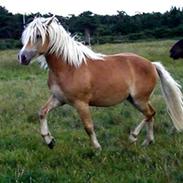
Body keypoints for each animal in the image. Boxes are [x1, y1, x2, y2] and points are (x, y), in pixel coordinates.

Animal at [17, 16, 183, 149]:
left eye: (38, 35)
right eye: (25, 37)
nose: (22, 57)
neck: (68, 68)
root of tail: (151, 64)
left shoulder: (81, 103)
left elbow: (88, 127)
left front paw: (97, 148)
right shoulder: (58, 99)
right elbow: (42, 112)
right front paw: (49, 141)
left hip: (139, 99)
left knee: (150, 114)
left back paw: (135, 137)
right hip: (134, 99)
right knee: (151, 114)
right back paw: (146, 141)